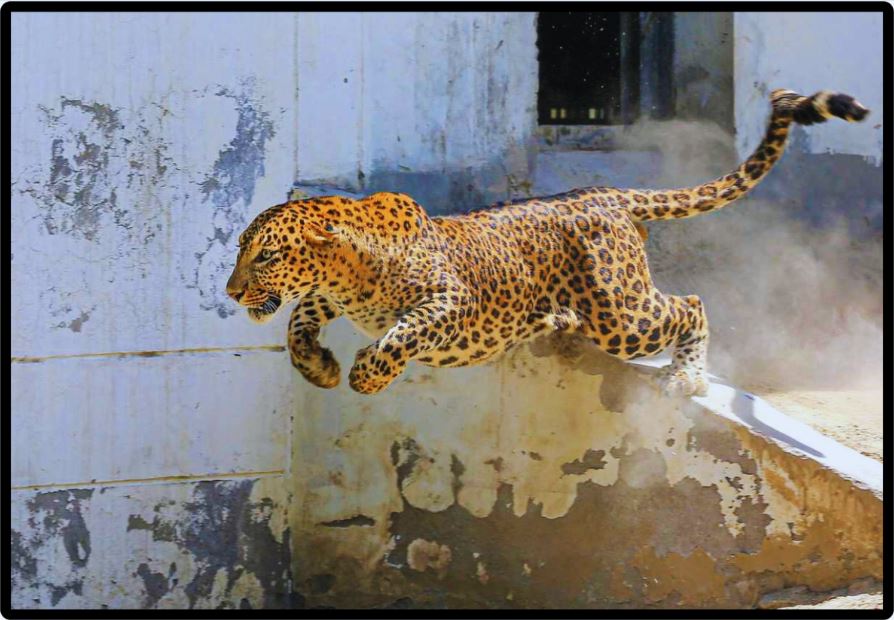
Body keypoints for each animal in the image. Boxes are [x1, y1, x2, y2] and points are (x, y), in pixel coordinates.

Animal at [226, 89, 868, 397]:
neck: (349, 270)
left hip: (620, 315)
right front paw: (319, 367)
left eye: (267, 255)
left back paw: (686, 376)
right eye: (240, 249)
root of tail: (603, 194)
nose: (231, 293)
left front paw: (366, 375)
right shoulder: (326, 296)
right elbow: (297, 320)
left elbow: (402, 333)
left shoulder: (450, 300)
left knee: (689, 304)